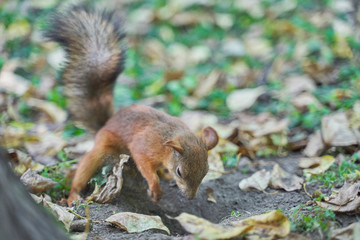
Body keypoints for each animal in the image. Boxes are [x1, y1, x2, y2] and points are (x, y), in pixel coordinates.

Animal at [45, 5, 219, 206]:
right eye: (180, 172)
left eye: (206, 171)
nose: (190, 197)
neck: (168, 141)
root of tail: (105, 124)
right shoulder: (143, 147)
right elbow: (145, 166)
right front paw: (155, 188)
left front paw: (163, 177)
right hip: (102, 150)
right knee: (82, 171)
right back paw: (73, 195)